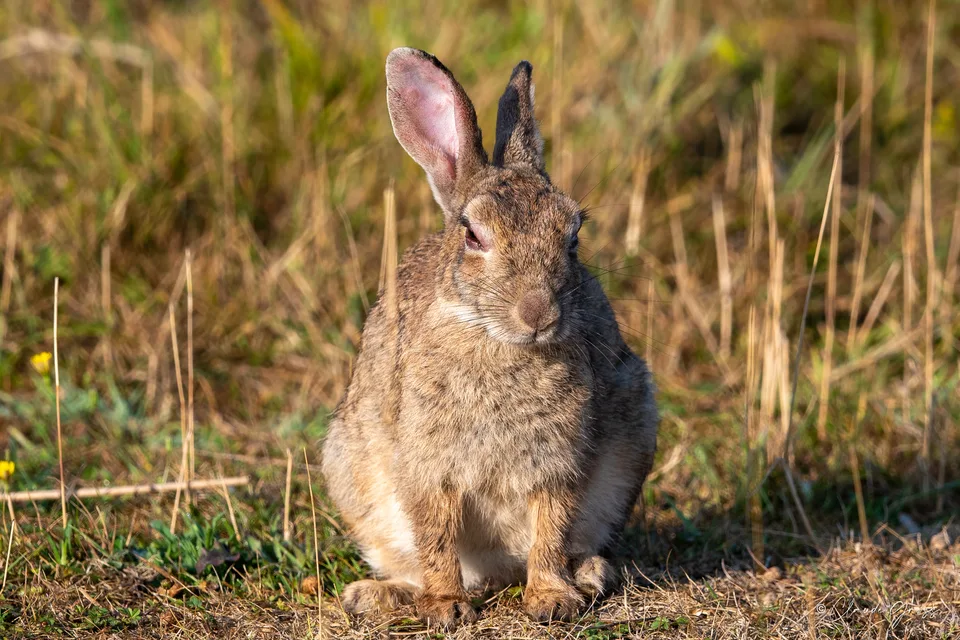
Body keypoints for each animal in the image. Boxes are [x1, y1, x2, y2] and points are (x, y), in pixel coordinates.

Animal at [321, 47, 658, 630]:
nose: (538, 312)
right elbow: (436, 536)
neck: (495, 336)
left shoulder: (559, 462)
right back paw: (382, 595)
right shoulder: (428, 466)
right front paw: (445, 607)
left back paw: (590, 573)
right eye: (473, 236)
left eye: (573, 236)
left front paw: (550, 598)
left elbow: (552, 528)